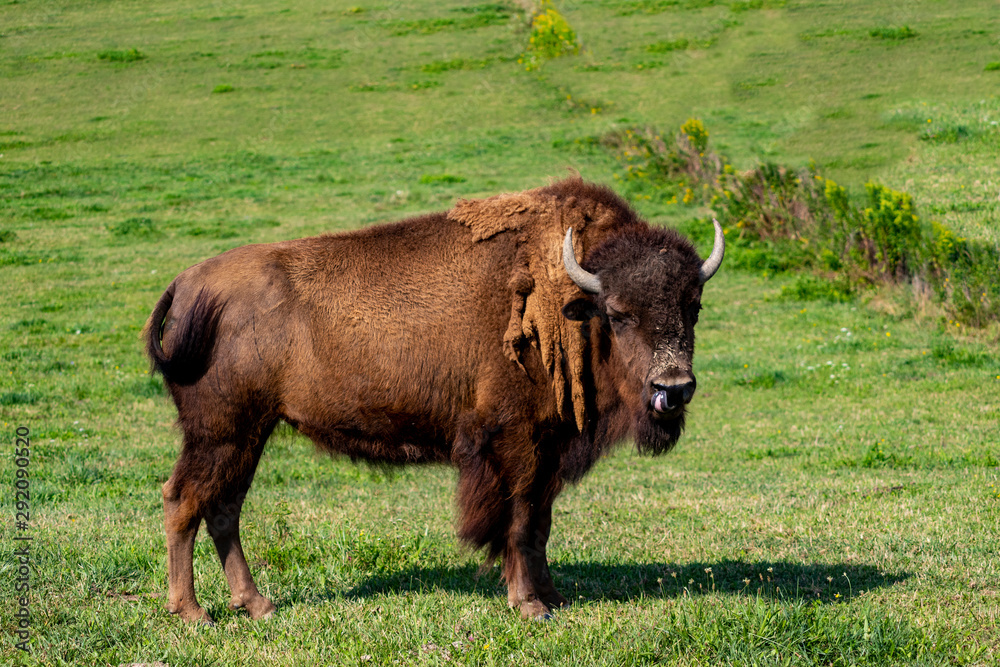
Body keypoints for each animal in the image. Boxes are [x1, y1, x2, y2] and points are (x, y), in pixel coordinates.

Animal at [145, 176, 724, 620]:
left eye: (693, 306)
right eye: (620, 314)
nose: (673, 388)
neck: (574, 295)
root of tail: (187, 282)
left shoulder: (549, 451)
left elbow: (540, 524)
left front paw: (553, 596)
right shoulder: (514, 444)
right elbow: (517, 522)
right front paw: (529, 605)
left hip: (249, 433)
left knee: (222, 508)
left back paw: (256, 604)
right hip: (221, 431)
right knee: (184, 500)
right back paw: (192, 612)